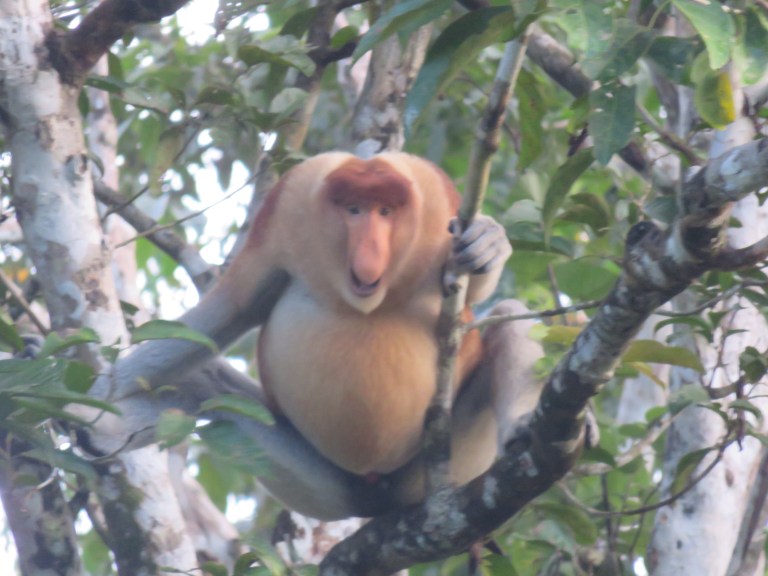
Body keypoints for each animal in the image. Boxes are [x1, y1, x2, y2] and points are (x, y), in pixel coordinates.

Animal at [84, 151, 544, 519]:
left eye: (385, 211)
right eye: (354, 209)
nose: (368, 255)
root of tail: (374, 496)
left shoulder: (435, 195)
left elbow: (479, 294)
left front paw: (488, 242)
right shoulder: (288, 204)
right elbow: (229, 311)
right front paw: (87, 398)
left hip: (444, 464)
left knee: (511, 315)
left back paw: (519, 429)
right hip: (326, 485)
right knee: (207, 390)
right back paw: (103, 433)